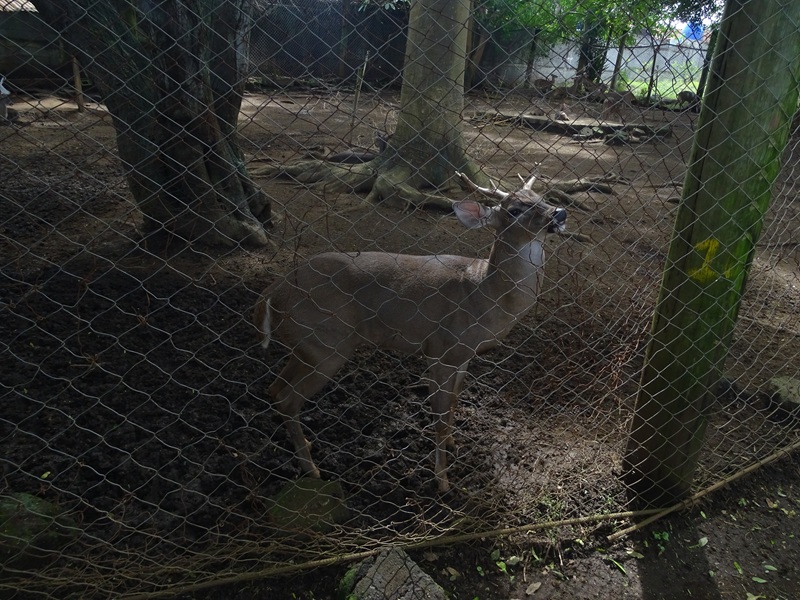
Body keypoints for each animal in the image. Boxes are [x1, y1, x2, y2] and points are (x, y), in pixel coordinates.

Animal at [253, 172, 567, 493]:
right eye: (514, 210)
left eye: (542, 197)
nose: (559, 213)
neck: (484, 294)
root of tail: (272, 292)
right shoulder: (440, 348)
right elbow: (439, 413)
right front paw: (442, 480)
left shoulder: (463, 354)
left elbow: (455, 400)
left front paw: (453, 443)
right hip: (326, 343)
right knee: (288, 397)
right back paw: (312, 469)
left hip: (307, 347)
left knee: (275, 389)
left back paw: (307, 444)